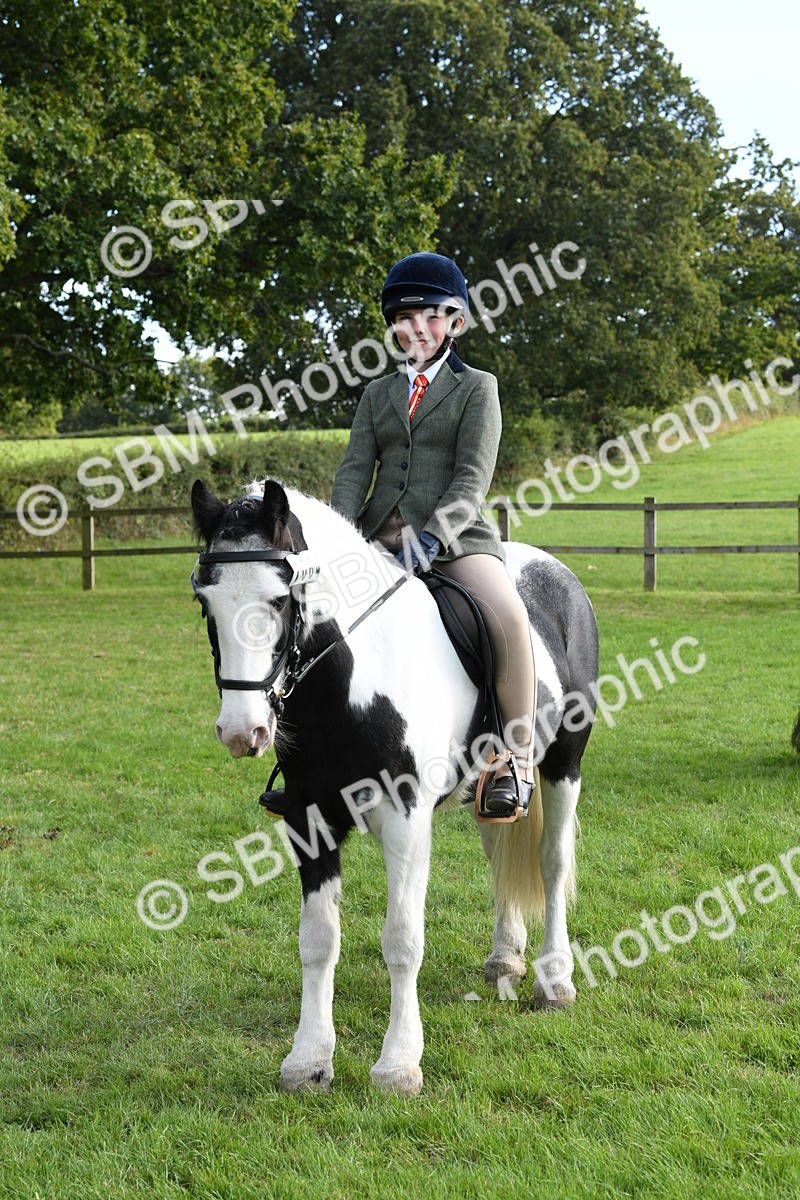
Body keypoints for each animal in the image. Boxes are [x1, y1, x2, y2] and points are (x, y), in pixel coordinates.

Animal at [189, 476, 599, 1095]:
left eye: (280, 598)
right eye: (204, 600)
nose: (243, 731)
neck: (352, 683)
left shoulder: (406, 821)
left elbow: (402, 940)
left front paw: (399, 1065)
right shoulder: (309, 820)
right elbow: (317, 939)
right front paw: (308, 1059)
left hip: (563, 764)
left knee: (552, 862)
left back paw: (554, 981)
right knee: (500, 852)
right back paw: (505, 959)